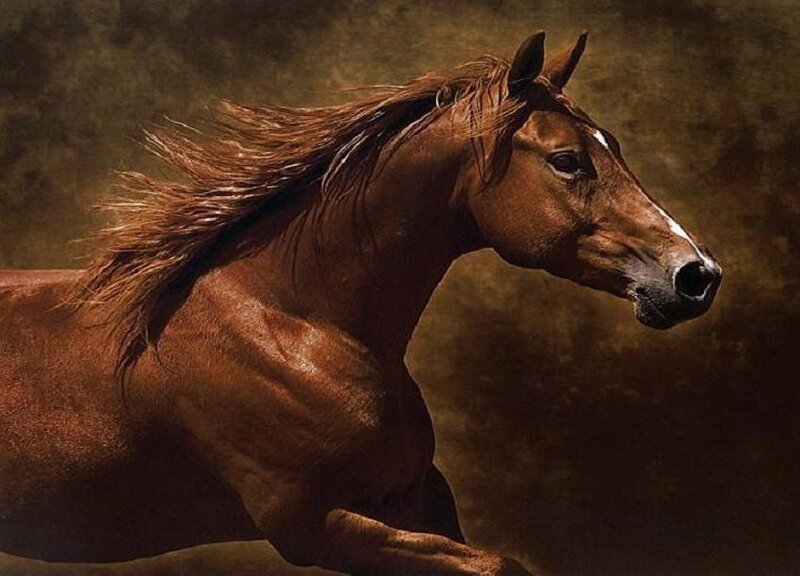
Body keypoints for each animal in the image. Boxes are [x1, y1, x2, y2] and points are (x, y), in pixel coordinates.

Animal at [0, 32, 721, 575]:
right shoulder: (316, 524)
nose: (695, 275)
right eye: (567, 160)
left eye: (613, 146)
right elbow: (501, 565)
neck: (292, 321)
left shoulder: (415, 502)